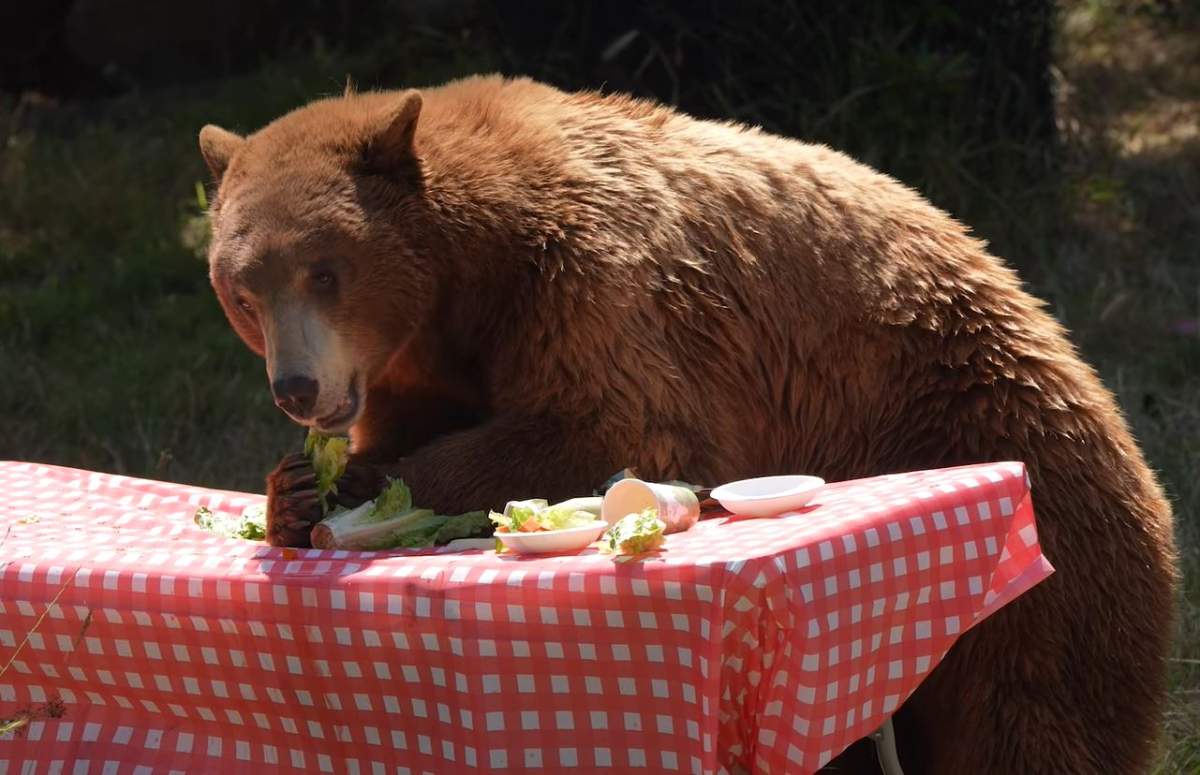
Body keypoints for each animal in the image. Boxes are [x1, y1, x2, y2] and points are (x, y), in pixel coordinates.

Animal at [197, 74, 1177, 774]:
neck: (470, 278)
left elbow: (614, 426)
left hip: (999, 442)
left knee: (1034, 698)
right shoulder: (421, 363)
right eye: (242, 289)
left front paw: (363, 490)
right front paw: (295, 487)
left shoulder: (595, 284)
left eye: (325, 270)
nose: (295, 387)